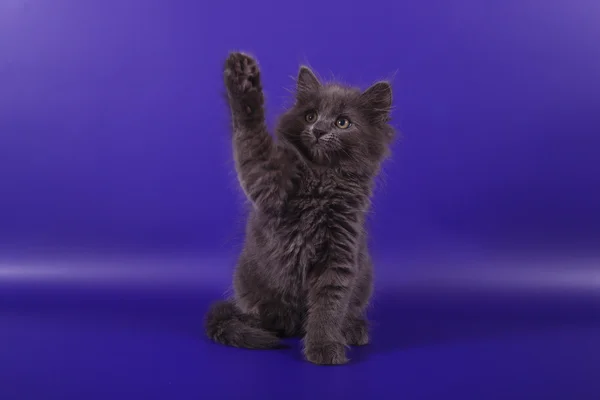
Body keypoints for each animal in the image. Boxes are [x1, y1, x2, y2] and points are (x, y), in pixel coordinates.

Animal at [204, 51, 396, 364]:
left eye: (343, 123)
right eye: (310, 116)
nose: (318, 130)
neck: (321, 180)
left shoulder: (340, 252)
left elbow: (328, 307)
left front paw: (323, 345)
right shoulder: (268, 180)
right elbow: (251, 139)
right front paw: (244, 82)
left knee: (347, 310)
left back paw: (352, 328)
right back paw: (261, 326)